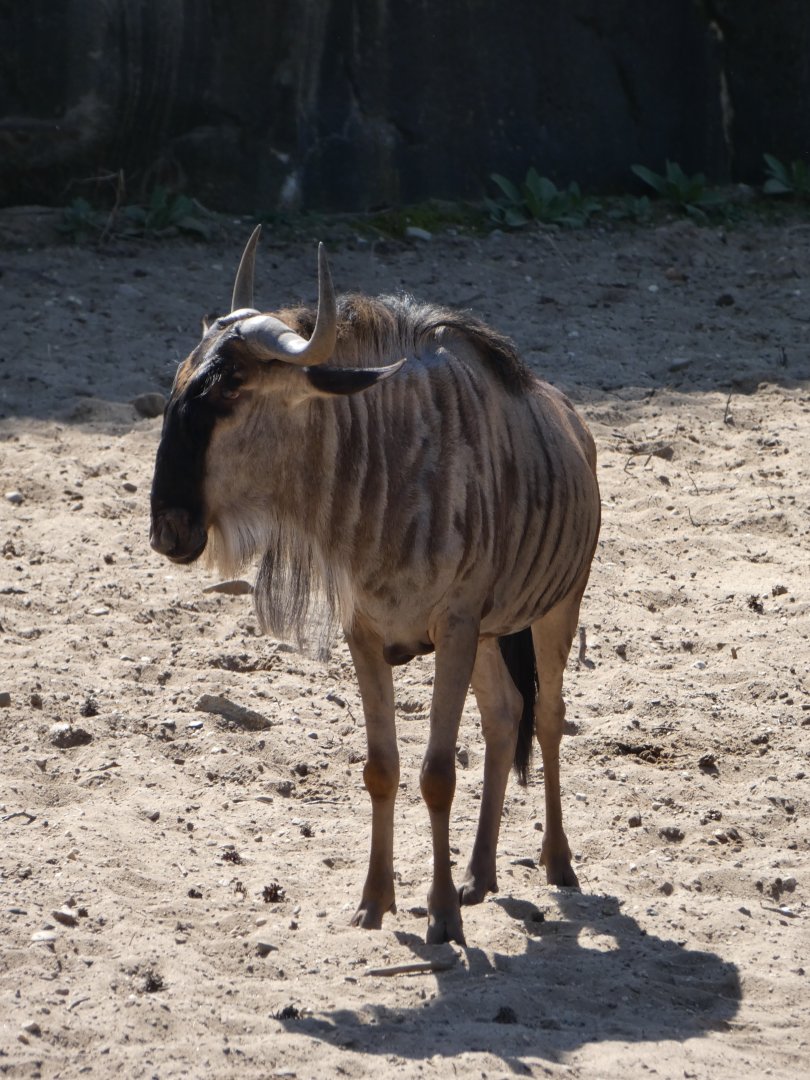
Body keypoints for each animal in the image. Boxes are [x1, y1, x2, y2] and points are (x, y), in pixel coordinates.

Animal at [150, 227, 600, 944]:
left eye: (228, 390)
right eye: (178, 384)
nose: (168, 529)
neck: (390, 468)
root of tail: (576, 428)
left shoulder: (454, 628)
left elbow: (437, 773)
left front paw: (440, 916)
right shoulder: (368, 634)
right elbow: (382, 767)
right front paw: (376, 899)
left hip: (556, 609)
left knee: (550, 719)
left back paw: (557, 862)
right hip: (492, 636)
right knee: (505, 718)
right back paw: (479, 874)